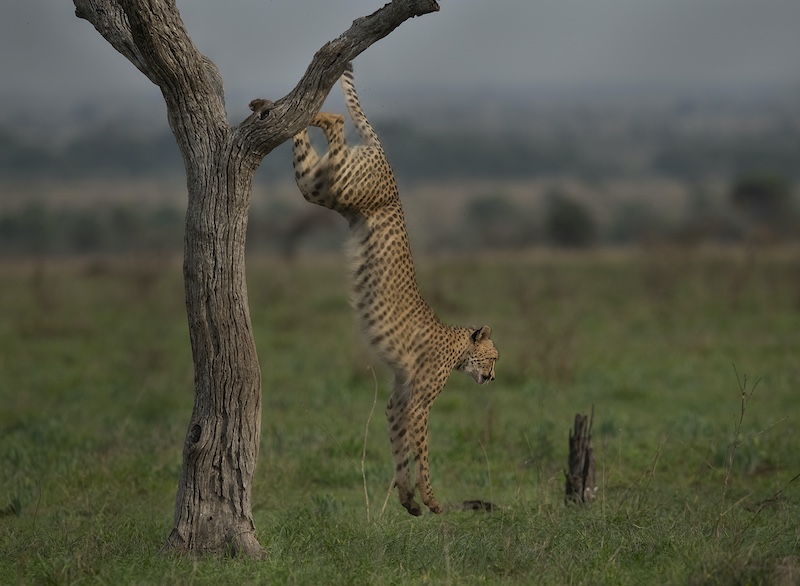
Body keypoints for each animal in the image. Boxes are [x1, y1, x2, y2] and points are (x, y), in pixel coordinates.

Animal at [290, 63, 498, 516]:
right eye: (493, 357)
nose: (493, 377)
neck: (457, 346)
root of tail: (383, 155)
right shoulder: (418, 403)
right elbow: (422, 450)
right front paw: (432, 500)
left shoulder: (398, 400)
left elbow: (400, 447)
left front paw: (408, 499)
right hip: (344, 187)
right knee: (337, 123)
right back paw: (313, 112)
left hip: (321, 186)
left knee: (307, 150)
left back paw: (266, 106)